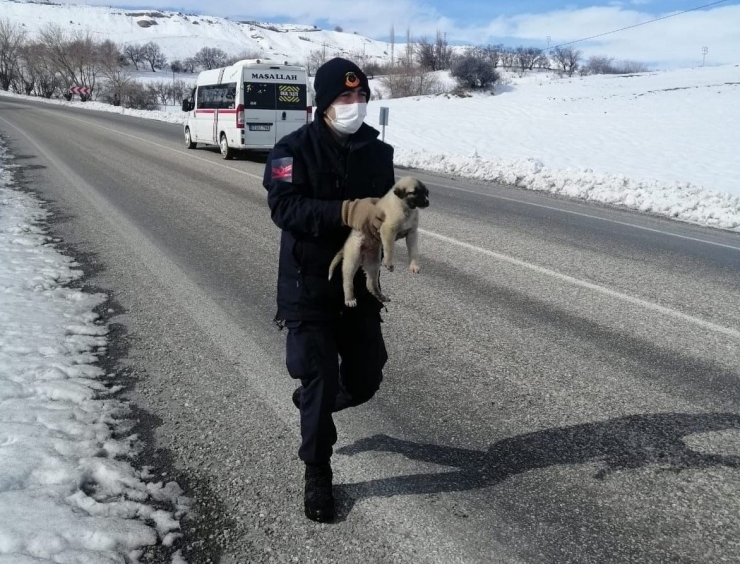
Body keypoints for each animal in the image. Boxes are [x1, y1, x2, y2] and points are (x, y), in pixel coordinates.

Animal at [328, 176, 428, 308]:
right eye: (414, 192)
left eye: (426, 192)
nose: (427, 202)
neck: (404, 207)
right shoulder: (387, 230)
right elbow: (390, 248)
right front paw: (389, 263)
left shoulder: (412, 234)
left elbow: (414, 251)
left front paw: (414, 266)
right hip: (353, 258)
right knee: (347, 281)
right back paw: (350, 299)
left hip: (373, 262)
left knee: (371, 283)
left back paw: (380, 296)